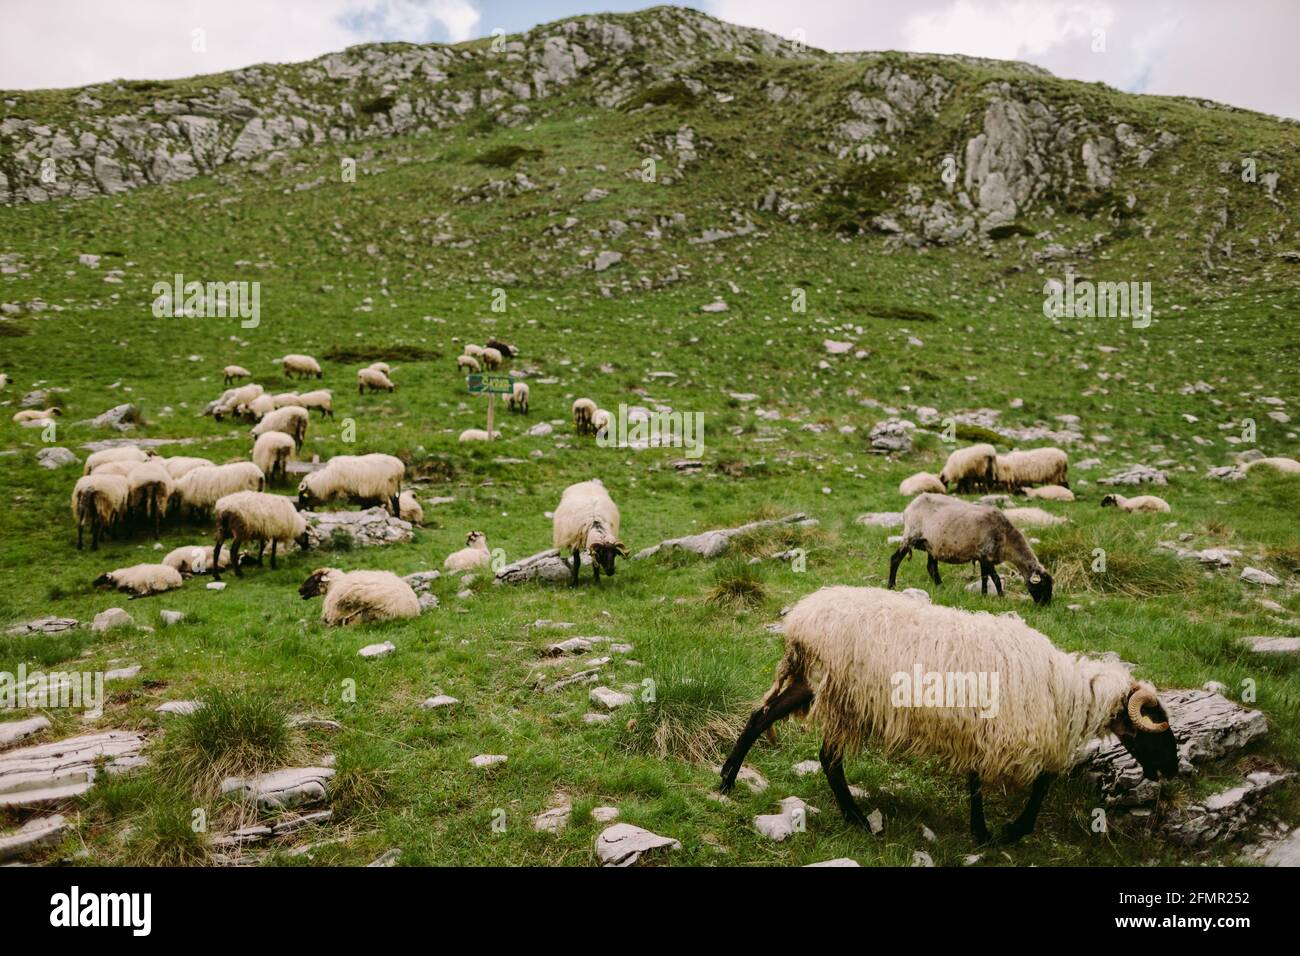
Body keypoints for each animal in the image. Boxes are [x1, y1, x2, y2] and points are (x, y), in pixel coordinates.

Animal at [719, 586, 1178, 842]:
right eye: (1155, 731)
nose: (1173, 771)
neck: (1063, 690)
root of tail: (800, 618)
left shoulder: (981, 731)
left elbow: (982, 779)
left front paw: (985, 829)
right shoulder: (1007, 733)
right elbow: (1041, 781)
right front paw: (1004, 831)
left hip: (811, 683)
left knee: (760, 717)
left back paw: (727, 779)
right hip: (842, 696)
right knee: (828, 758)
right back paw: (856, 818)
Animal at [888, 493, 1053, 605]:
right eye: (1043, 585)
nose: (1045, 605)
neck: (1006, 538)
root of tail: (910, 506)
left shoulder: (983, 557)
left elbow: (985, 578)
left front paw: (984, 596)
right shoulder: (986, 555)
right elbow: (995, 579)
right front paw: (1001, 597)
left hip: (931, 544)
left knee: (931, 567)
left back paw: (941, 587)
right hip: (911, 535)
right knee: (895, 559)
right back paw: (891, 586)